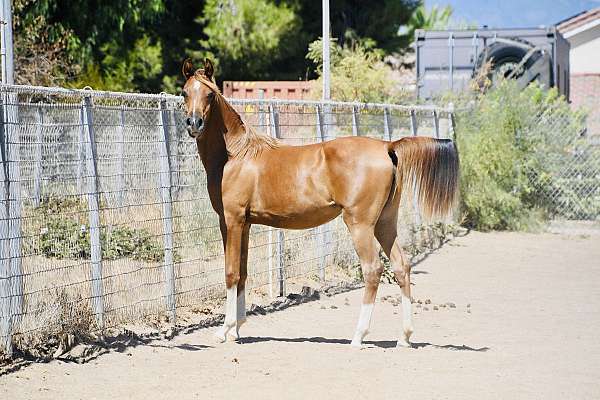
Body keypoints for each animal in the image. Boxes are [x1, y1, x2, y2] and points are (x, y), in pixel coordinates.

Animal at [180, 58, 458, 346]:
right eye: (185, 92)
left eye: (210, 94)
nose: (194, 123)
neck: (237, 155)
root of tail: (387, 147)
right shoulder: (245, 224)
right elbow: (243, 272)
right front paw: (237, 329)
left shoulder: (231, 220)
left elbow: (231, 272)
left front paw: (225, 330)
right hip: (385, 223)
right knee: (401, 267)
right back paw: (404, 337)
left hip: (360, 225)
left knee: (373, 270)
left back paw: (358, 336)